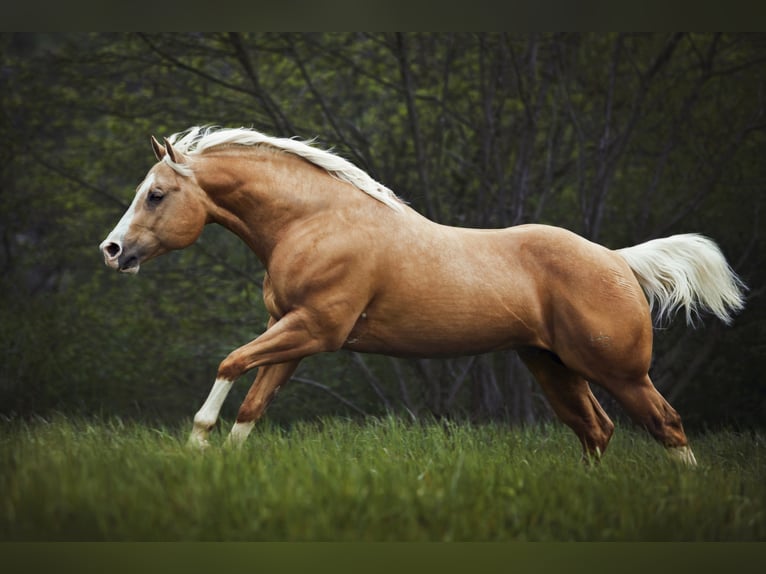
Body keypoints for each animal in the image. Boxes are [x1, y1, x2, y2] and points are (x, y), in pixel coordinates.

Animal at [99, 126, 746, 465]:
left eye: (155, 194)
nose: (111, 250)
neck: (316, 222)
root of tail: (617, 261)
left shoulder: (314, 328)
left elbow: (229, 364)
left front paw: (195, 445)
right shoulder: (295, 337)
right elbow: (254, 406)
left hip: (619, 369)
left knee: (666, 425)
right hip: (553, 367)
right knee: (596, 430)